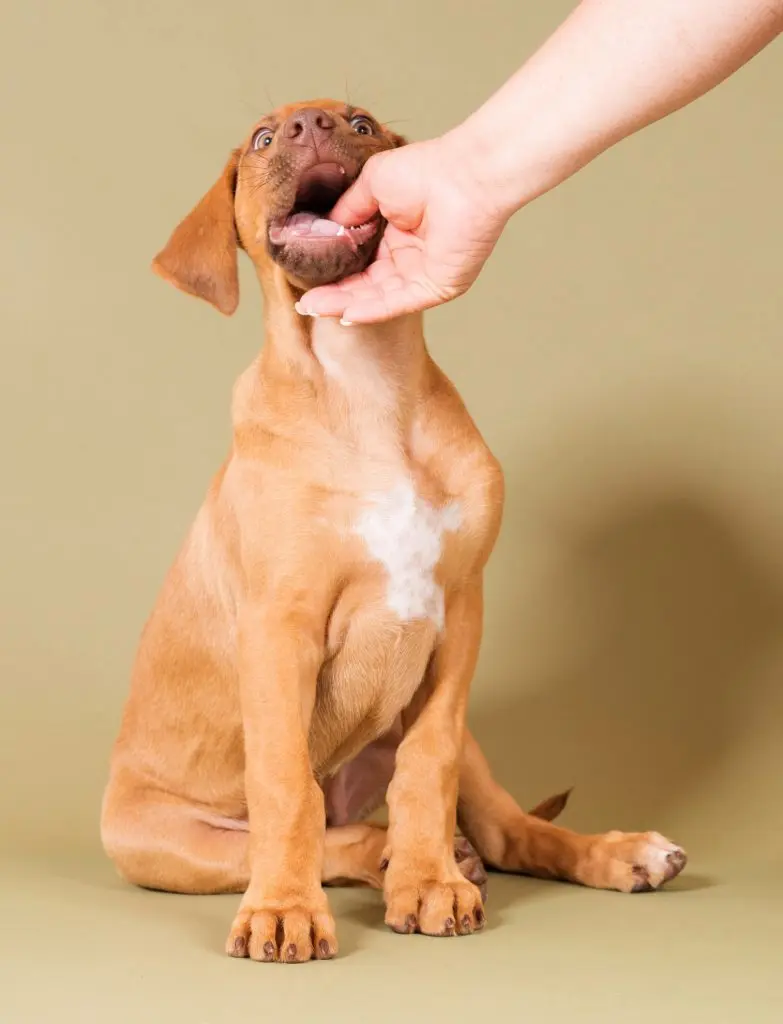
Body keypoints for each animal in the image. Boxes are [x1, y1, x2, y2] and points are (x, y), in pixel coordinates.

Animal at [100, 99, 687, 962]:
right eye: (263, 139)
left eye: (361, 123)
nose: (313, 123)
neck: (364, 384)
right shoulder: (279, 629)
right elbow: (285, 787)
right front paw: (285, 909)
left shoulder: (459, 616)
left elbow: (425, 766)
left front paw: (429, 880)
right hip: (165, 843)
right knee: (328, 832)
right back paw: (376, 859)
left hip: (459, 738)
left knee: (505, 831)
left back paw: (604, 856)